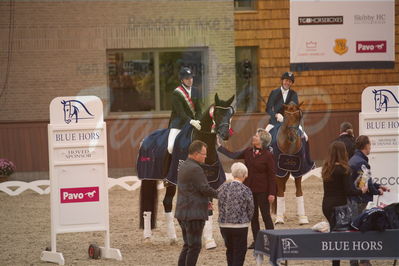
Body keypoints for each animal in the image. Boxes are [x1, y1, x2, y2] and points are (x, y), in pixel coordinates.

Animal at [139, 93, 236, 247]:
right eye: (217, 113)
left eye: (230, 114)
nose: (225, 134)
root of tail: (146, 139)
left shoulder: (208, 181)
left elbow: (208, 208)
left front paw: (209, 240)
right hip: (149, 178)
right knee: (147, 206)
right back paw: (148, 237)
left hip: (170, 182)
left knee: (167, 202)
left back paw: (172, 238)